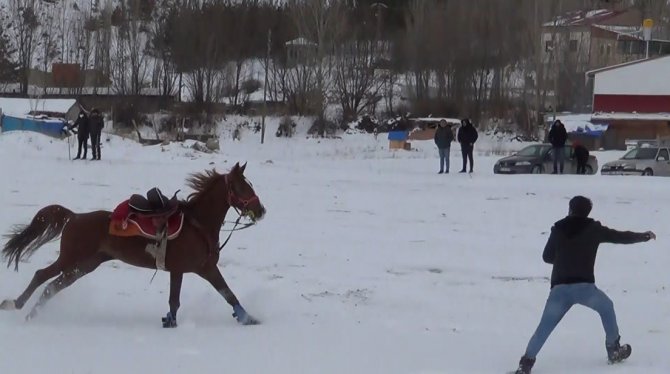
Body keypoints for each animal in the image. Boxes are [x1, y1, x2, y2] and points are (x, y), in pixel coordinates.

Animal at [0, 162, 266, 326]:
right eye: (243, 187)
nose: (261, 210)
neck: (198, 224)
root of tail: (74, 217)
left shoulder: (203, 269)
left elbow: (227, 294)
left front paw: (248, 318)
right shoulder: (188, 269)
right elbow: (188, 298)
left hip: (83, 265)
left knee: (52, 287)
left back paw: (32, 314)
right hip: (70, 259)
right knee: (41, 276)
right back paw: (15, 305)